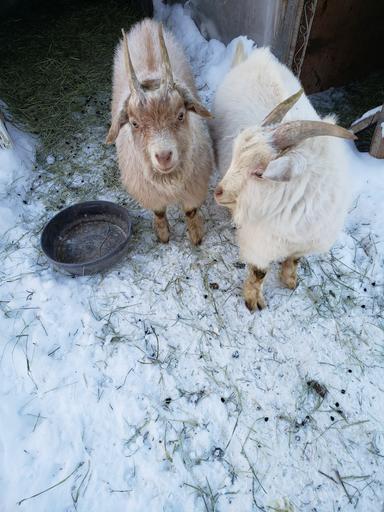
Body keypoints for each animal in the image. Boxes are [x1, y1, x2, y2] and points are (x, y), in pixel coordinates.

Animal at [106, 20, 213, 244]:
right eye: (134, 123)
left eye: (181, 115)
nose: (163, 156)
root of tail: (146, 24)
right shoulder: (149, 193)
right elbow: (159, 212)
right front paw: (163, 235)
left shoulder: (194, 187)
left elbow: (190, 211)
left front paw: (196, 236)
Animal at [212, 48, 356, 310]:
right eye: (236, 155)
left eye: (259, 172)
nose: (219, 192)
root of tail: (255, 57)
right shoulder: (260, 242)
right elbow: (259, 272)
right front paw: (254, 301)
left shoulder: (306, 242)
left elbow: (295, 259)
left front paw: (290, 280)